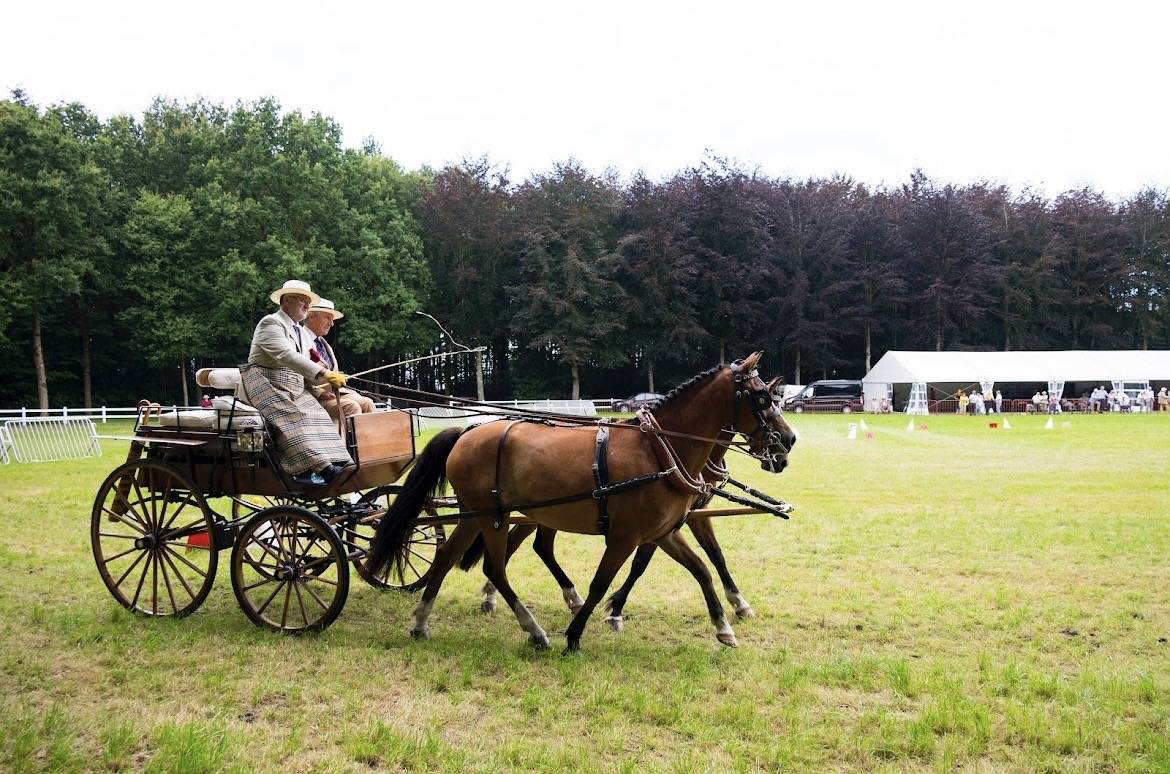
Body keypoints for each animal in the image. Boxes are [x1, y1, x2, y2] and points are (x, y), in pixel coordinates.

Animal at [365, 352, 795, 652]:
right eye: (761, 397)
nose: (789, 441)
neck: (659, 450)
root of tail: (467, 431)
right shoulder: (624, 536)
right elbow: (602, 582)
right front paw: (576, 633)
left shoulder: (664, 532)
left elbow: (703, 567)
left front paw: (725, 626)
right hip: (494, 517)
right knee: (495, 565)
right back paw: (534, 629)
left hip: (478, 515)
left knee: (447, 557)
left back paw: (421, 622)